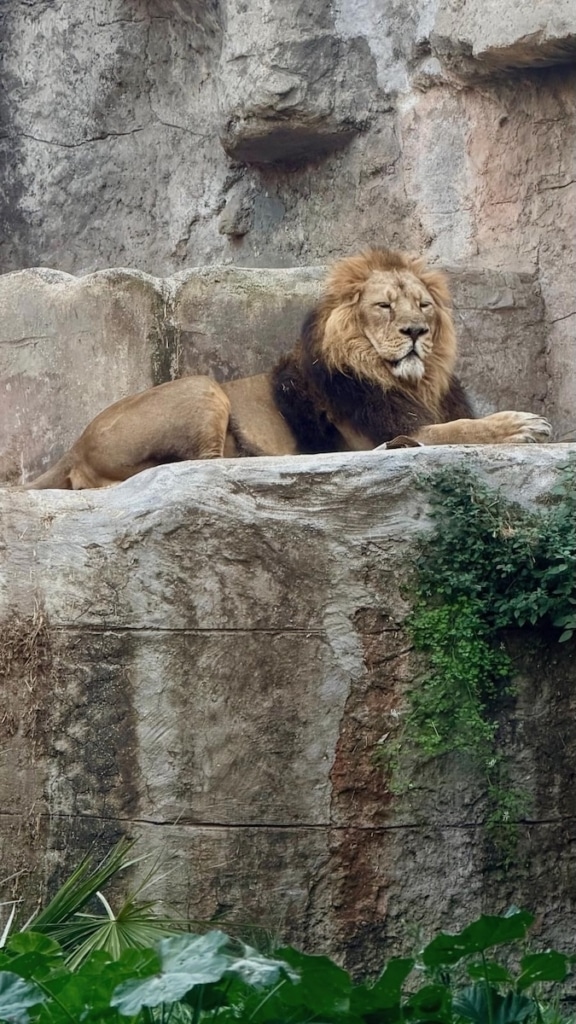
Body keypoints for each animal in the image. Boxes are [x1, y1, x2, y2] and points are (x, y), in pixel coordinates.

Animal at [25, 249, 551, 490]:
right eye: (383, 306)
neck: (409, 381)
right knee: (201, 463)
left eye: (423, 305)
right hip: (202, 387)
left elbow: (453, 422)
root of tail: (74, 446)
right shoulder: (381, 425)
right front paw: (520, 425)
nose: (416, 332)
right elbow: (454, 429)